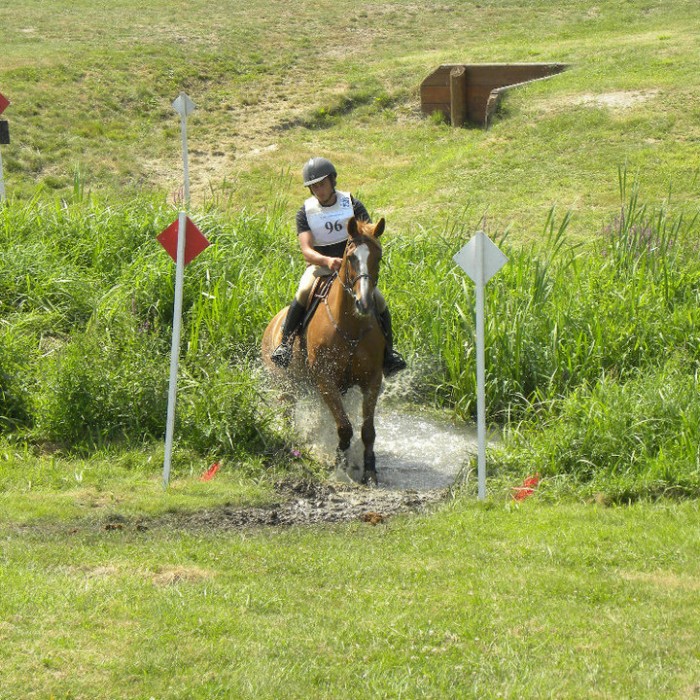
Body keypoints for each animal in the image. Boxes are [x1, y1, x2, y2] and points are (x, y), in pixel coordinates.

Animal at [260, 219, 386, 486]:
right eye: (351, 257)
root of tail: (272, 324)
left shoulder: (372, 380)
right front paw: (340, 466)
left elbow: (367, 430)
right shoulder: (325, 380)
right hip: (286, 385)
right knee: (287, 412)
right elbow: (345, 427)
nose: (364, 304)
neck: (350, 326)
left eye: (378, 256)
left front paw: (369, 470)